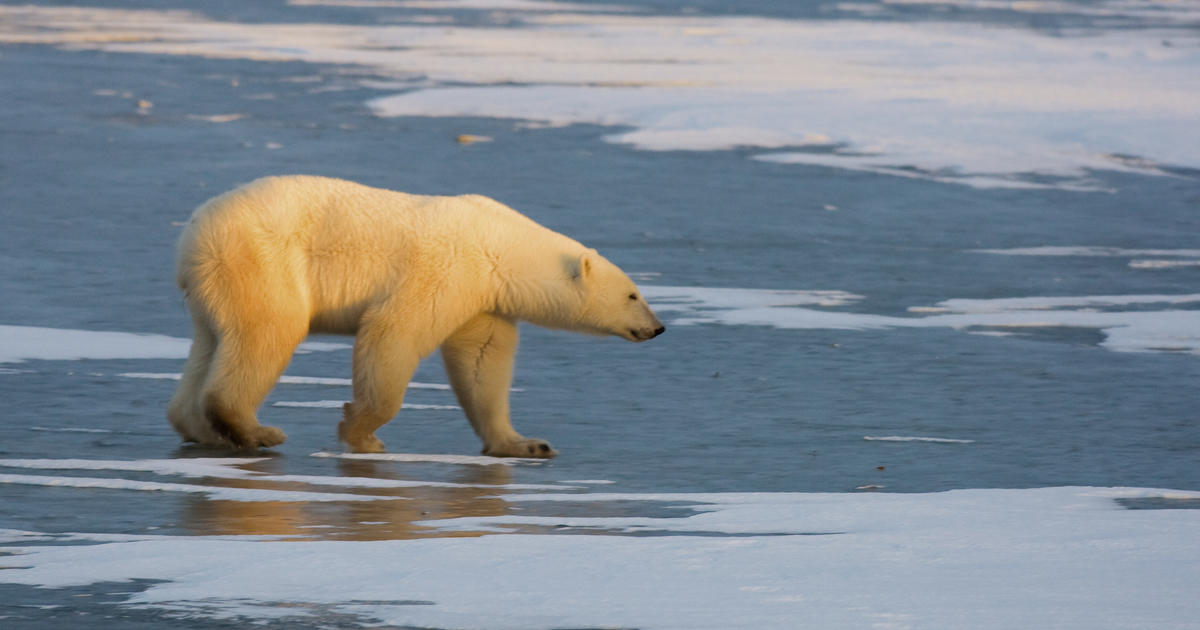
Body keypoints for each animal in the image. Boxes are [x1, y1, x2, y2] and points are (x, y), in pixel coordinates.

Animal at [164, 174, 662, 453]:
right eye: (633, 295)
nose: (657, 328)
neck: (501, 247)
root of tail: (192, 235)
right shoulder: (446, 268)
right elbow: (392, 334)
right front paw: (362, 432)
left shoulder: (483, 299)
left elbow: (483, 362)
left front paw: (525, 444)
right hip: (263, 261)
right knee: (269, 331)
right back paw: (257, 431)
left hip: (216, 285)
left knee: (212, 342)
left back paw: (199, 429)